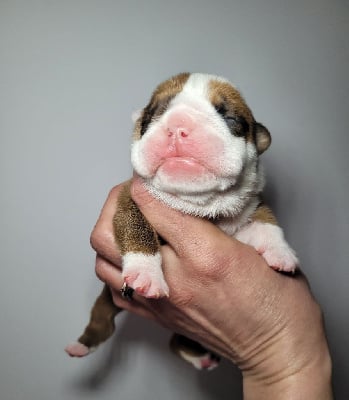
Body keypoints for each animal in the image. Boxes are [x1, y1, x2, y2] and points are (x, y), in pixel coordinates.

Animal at [64, 72, 296, 368]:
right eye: (153, 115)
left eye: (229, 118)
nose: (178, 126)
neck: (197, 204)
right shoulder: (129, 198)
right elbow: (138, 228)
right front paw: (146, 273)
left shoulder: (249, 203)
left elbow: (267, 221)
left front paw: (282, 253)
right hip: (107, 300)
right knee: (102, 320)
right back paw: (81, 346)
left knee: (176, 342)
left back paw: (199, 356)